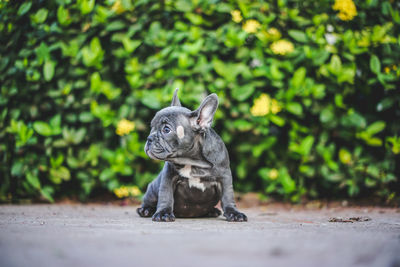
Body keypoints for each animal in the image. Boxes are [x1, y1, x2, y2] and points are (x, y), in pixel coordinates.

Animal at [138, 89, 247, 223]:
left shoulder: (224, 176)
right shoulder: (168, 176)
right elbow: (165, 194)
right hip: (153, 188)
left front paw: (233, 213)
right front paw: (163, 213)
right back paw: (145, 209)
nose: (149, 139)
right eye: (151, 127)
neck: (192, 161)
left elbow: (228, 196)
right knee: (149, 199)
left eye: (166, 130)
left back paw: (212, 211)